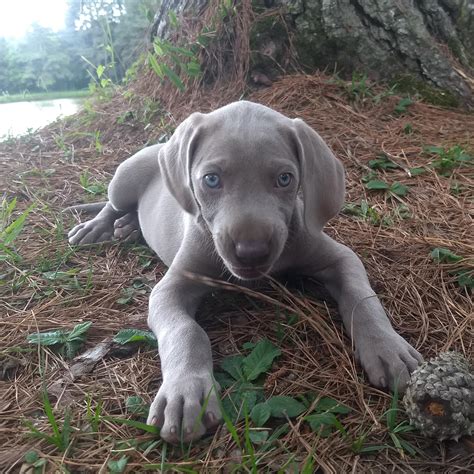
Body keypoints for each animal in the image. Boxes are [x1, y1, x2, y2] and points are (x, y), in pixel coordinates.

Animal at [67, 101, 422, 444]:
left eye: (285, 179)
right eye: (211, 179)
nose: (251, 252)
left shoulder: (341, 258)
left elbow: (363, 300)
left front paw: (386, 347)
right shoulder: (171, 288)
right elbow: (186, 331)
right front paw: (186, 393)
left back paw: (127, 227)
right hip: (123, 178)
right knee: (112, 204)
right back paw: (97, 227)